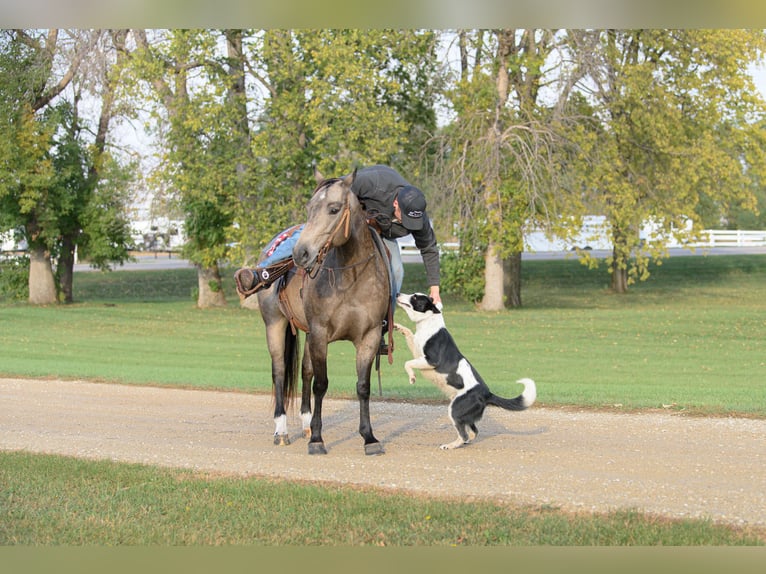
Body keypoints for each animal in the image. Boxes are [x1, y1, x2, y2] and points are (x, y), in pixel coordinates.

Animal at [252, 170, 391, 455]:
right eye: (309, 208)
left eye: (334, 209)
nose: (301, 253)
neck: (351, 277)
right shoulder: (320, 333)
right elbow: (321, 384)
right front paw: (317, 439)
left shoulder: (369, 336)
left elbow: (362, 386)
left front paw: (369, 438)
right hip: (275, 324)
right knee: (279, 371)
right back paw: (282, 430)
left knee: (305, 371)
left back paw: (305, 424)